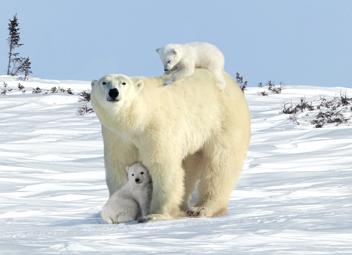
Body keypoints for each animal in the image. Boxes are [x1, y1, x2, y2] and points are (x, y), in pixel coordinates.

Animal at [91, 69, 250, 221]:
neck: (137, 119)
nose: (113, 92)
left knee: (220, 164)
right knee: (190, 165)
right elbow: (119, 166)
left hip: (222, 121)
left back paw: (201, 208)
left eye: (123, 83)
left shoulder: (156, 128)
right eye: (104, 82)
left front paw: (155, 215)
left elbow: (162, 166)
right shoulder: (117, 136)